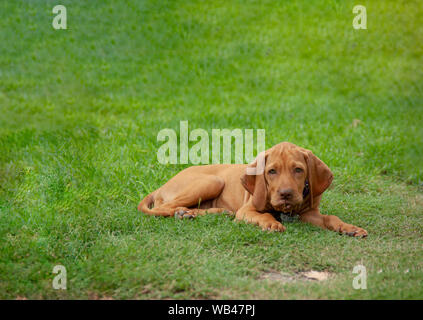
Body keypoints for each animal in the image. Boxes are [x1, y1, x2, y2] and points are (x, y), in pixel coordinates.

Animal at [138, 141, 368, 236]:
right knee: (164, 208)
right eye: (272, 171)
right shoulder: (246, 210)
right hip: (213, 181)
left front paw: (349, 227)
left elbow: (331, 218)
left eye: (298, 170)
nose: (286, 194)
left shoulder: (309, 213)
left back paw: (196, 213)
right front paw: (271, 223)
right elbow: (262, 215)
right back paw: (185, 212)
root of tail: (161, 187)